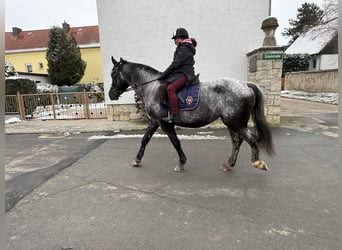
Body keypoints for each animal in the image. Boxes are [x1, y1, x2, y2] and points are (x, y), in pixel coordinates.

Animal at [108, 57, 274, 172]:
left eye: (113, 74)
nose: (111, 95)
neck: (151, 87)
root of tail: (245, 84)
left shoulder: (165, 123)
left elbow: (175, 142)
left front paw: (181, 163)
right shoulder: (155, 122)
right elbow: (144, 140)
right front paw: (137, 160)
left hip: (236, 123)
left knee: (252, 139)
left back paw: (257, 162)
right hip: (233, 123)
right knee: (237, 142)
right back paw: (228, 164)